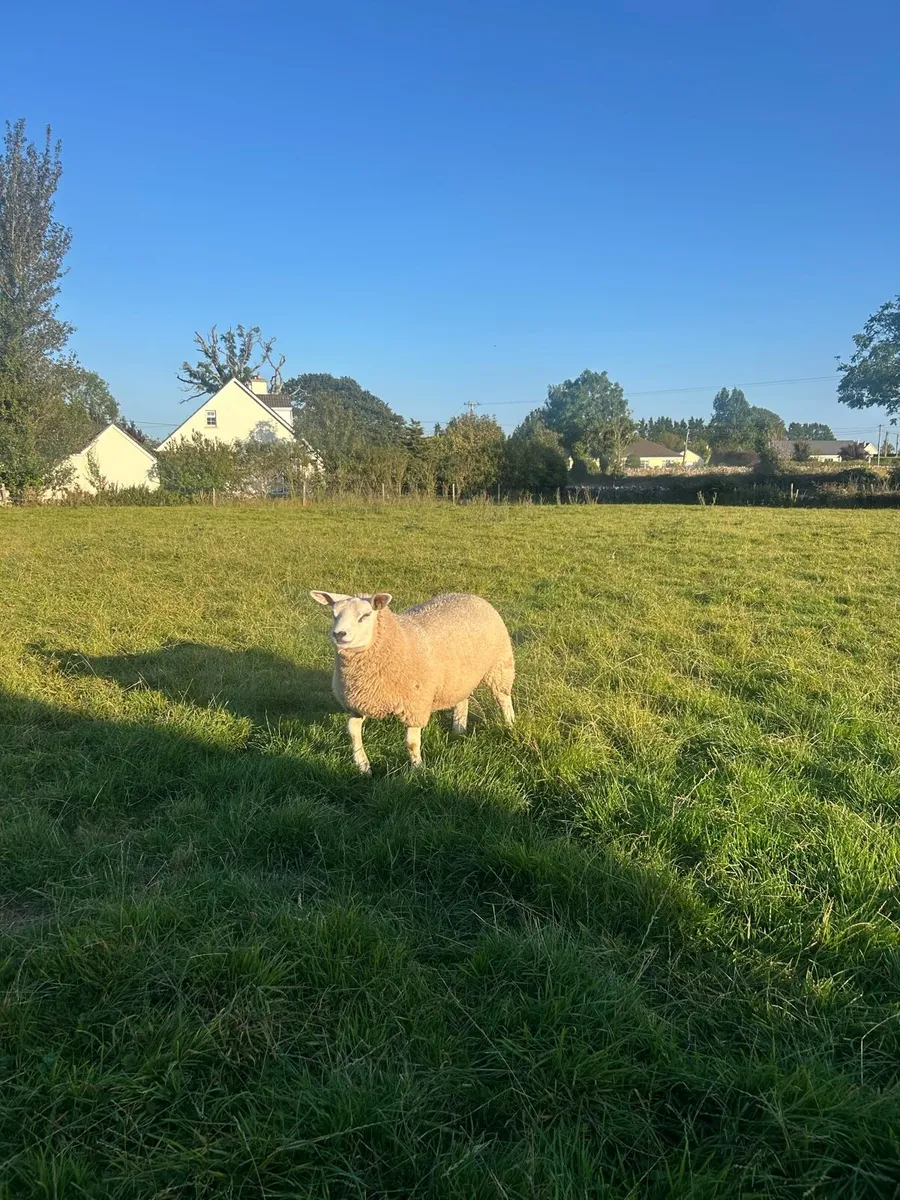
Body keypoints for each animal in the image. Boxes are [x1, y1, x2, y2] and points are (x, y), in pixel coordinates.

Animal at [309, 590, 515, 772]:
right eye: (334, 614)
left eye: (365, 615)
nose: (339, 634)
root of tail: (469, 595)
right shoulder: (359, 701)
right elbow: (352, 732)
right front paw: (363, 766)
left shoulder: (415, 705)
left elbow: (412, 743)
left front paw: (418, 769)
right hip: (459, 677)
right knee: (462, 700)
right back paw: (458, 730)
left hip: (499, 664)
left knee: (503, 698)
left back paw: (510, 725)